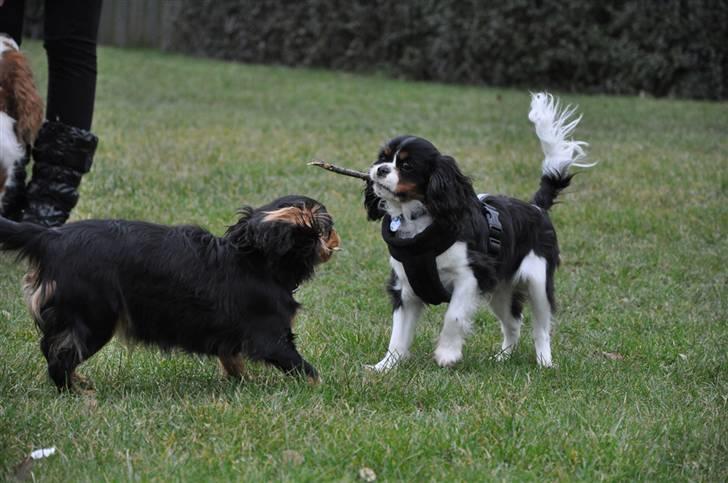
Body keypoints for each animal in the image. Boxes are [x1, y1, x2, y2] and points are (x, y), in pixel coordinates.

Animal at [364, 93, 592, 370]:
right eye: (382, 158)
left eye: (407, 166)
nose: (380, 170)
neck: (418, 220)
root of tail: (537, 207)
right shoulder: (405, 288)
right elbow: (398, 334)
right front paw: (385, 367)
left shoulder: (470, 277)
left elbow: (453, 317)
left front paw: (447, 354)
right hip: (501, 290)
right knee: (513, 323)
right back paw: (503, 358)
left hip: (538, 282)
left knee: (541, 328)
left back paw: (544, 363)